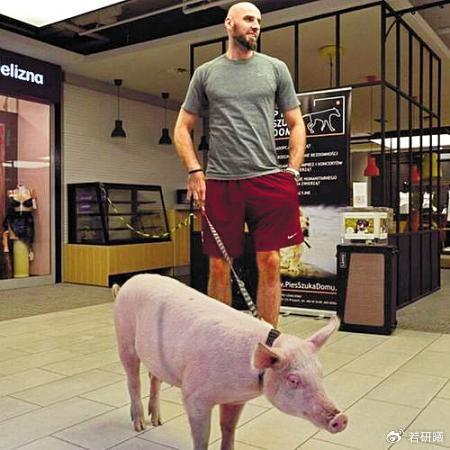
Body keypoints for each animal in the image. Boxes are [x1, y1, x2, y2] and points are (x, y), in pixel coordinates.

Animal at [113, 274, 347, 450]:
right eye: (293, 379)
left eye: (320, 373)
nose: (341, 418)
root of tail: (127, 283)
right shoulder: (194, 395)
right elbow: (202, 438)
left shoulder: (236, 400)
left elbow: (228, 429)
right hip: (124, 337)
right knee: (133, 380)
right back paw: (140, 425)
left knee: (154, 377)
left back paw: (157, 421)